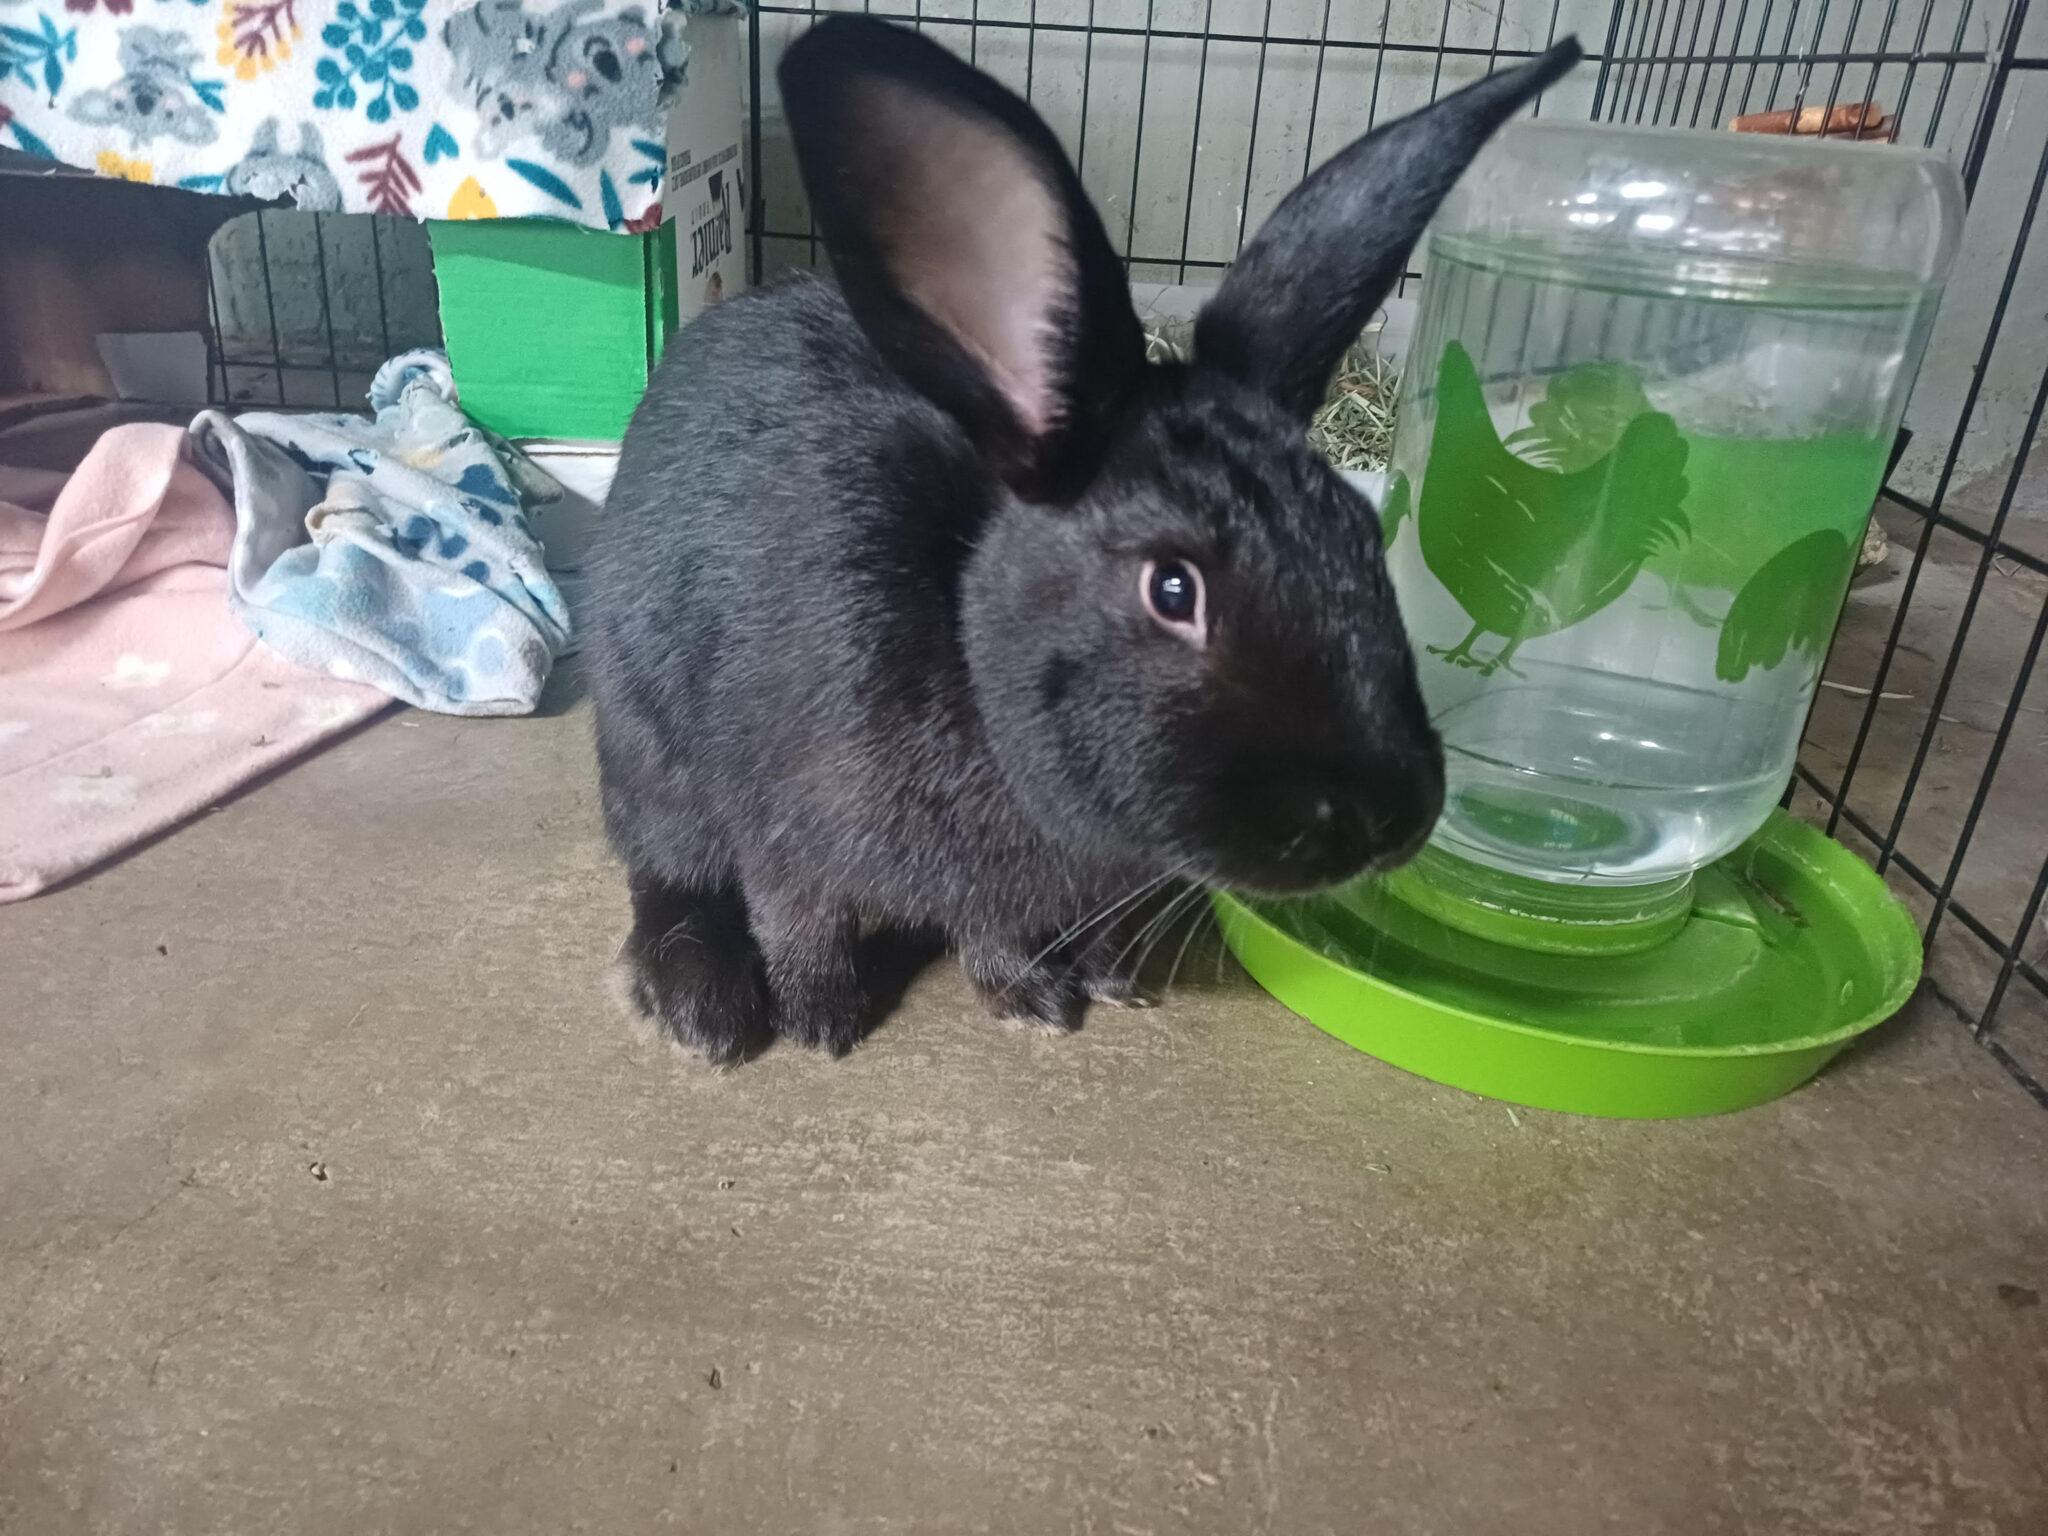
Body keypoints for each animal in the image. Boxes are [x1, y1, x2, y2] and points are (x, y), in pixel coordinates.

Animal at [589, 16, 1581, 1062]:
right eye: (1174, 589)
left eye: (1361, 529)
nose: (1394, 817)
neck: (970, 645)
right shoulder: (794, 832)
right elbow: (799, 921)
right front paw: (825, 1021)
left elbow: (996, 929)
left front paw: (1064, 991)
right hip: (649, 756)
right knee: (667, 876)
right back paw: (705, 1011)